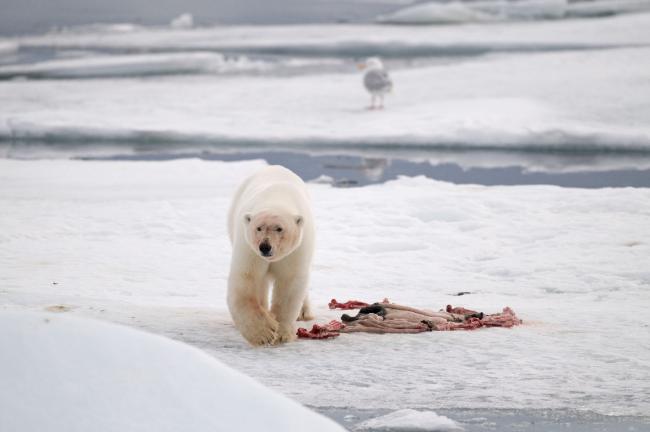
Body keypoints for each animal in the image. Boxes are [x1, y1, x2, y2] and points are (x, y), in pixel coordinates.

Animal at [227, 164, 316, 346]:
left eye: (279, 228)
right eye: (258, 228)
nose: (265, 247)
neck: (276, 197)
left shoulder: (295, 251)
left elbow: (289, 283)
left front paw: (282, 333)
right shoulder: (249, 248)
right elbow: (247, 279)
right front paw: (264, 333)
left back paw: (304, 313)